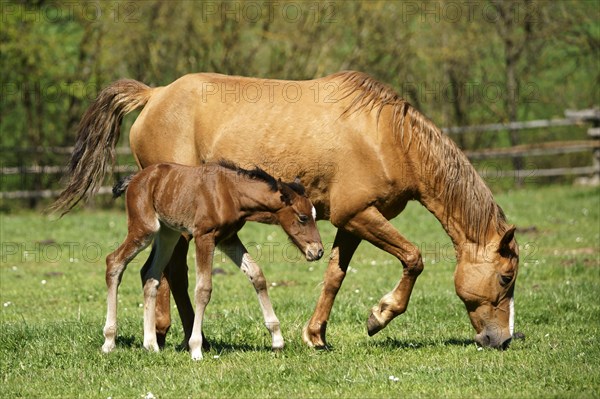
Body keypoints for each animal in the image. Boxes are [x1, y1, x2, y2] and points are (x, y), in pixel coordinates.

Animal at [51, 71, 516, 350]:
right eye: (506, 278)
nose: (503, 339)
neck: (387, 138)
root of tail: (155, 95)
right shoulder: (360, 216)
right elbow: (414, 259)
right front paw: (379, 316)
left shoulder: (351, 222)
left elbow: (334, 277)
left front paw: (315, 335)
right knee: (170, 271)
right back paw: (170, 335)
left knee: (169, 271)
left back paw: (185, 334)